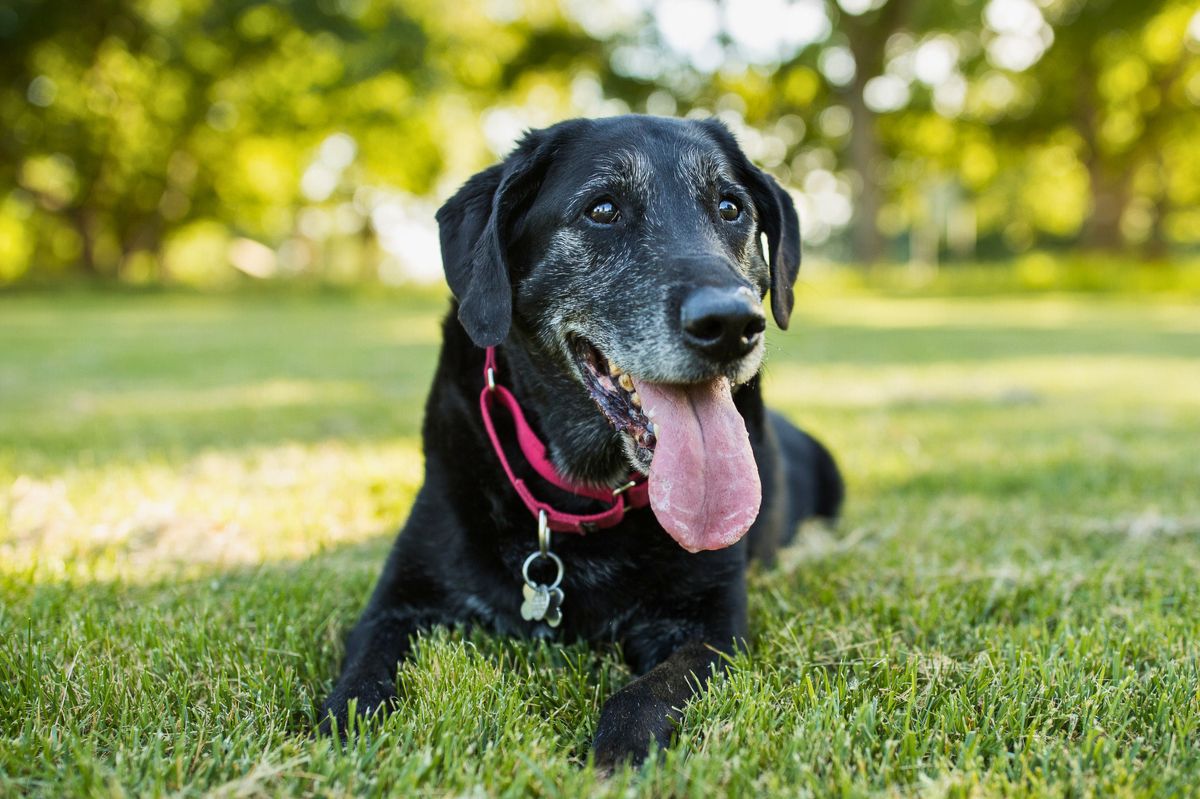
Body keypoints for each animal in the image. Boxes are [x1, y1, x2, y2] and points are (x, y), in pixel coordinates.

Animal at [319, 113, 844, 767]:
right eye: (603, 209)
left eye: (730, 207)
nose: (731, 324)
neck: (583, 496)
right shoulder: (398, 599)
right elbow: (362, 676)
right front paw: (349, 726)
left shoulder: (714, 626)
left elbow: (648, 693)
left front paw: (617, 753)